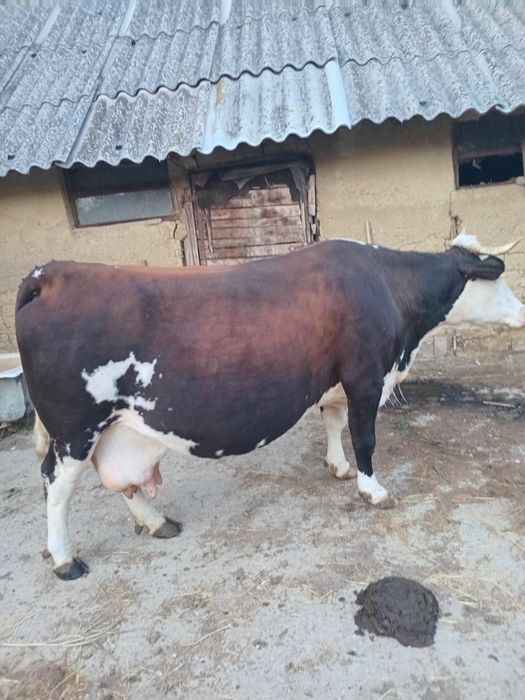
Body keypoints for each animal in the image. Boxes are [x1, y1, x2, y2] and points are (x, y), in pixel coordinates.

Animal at [15, 234, 524, 580]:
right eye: (498, 278)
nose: (522, 312)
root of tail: (51, 273)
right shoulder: (365, 378)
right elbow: (365, 436)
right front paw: (372, 489)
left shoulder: (335, 383)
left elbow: (334, 423)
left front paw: (337, 467)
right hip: (74, 428)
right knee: (56, 484)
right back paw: (65, 559)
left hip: (114, 427)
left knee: (120, 479)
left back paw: (156, 522)